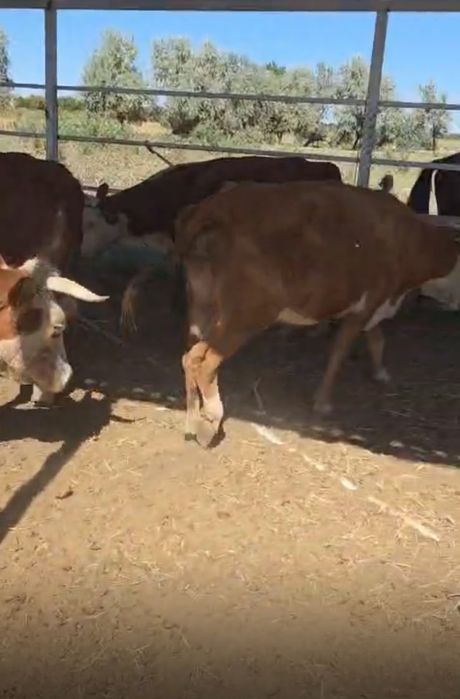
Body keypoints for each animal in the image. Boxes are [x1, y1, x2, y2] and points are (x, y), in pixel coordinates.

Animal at [175, 179, 460, 448]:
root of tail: (212, 208)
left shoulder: (372, 306)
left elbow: (377, 340)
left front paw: (380, 372)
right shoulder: (366, 305)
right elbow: (339, 352)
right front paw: (322, 402)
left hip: (202, 308)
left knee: (190, 357)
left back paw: (192, 421)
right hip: (245, 316)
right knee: (205, 362)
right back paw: (211, 420)